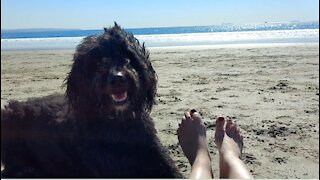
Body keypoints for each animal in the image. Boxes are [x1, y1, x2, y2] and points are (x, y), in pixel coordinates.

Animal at [0, 23, 182, 178]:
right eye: (98, 61)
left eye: (127, 56)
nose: (118, 78)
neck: (119, 123)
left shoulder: (159, 159)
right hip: (9, 116)